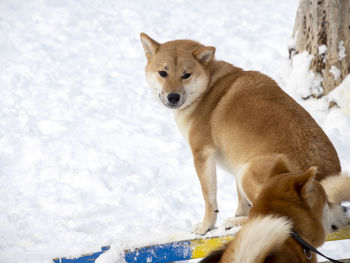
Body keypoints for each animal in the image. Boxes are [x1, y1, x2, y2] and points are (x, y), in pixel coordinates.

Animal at [140, 33, 342, 235]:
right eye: (163, 73)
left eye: (186, 75)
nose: (173, 97)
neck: (207, 88)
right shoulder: (236, 159)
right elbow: (241, 201)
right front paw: (237, 213)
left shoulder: (202, 154)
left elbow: (209, 198)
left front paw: (206, 226)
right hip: (243, 169)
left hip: (248, 171)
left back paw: (235, 223)